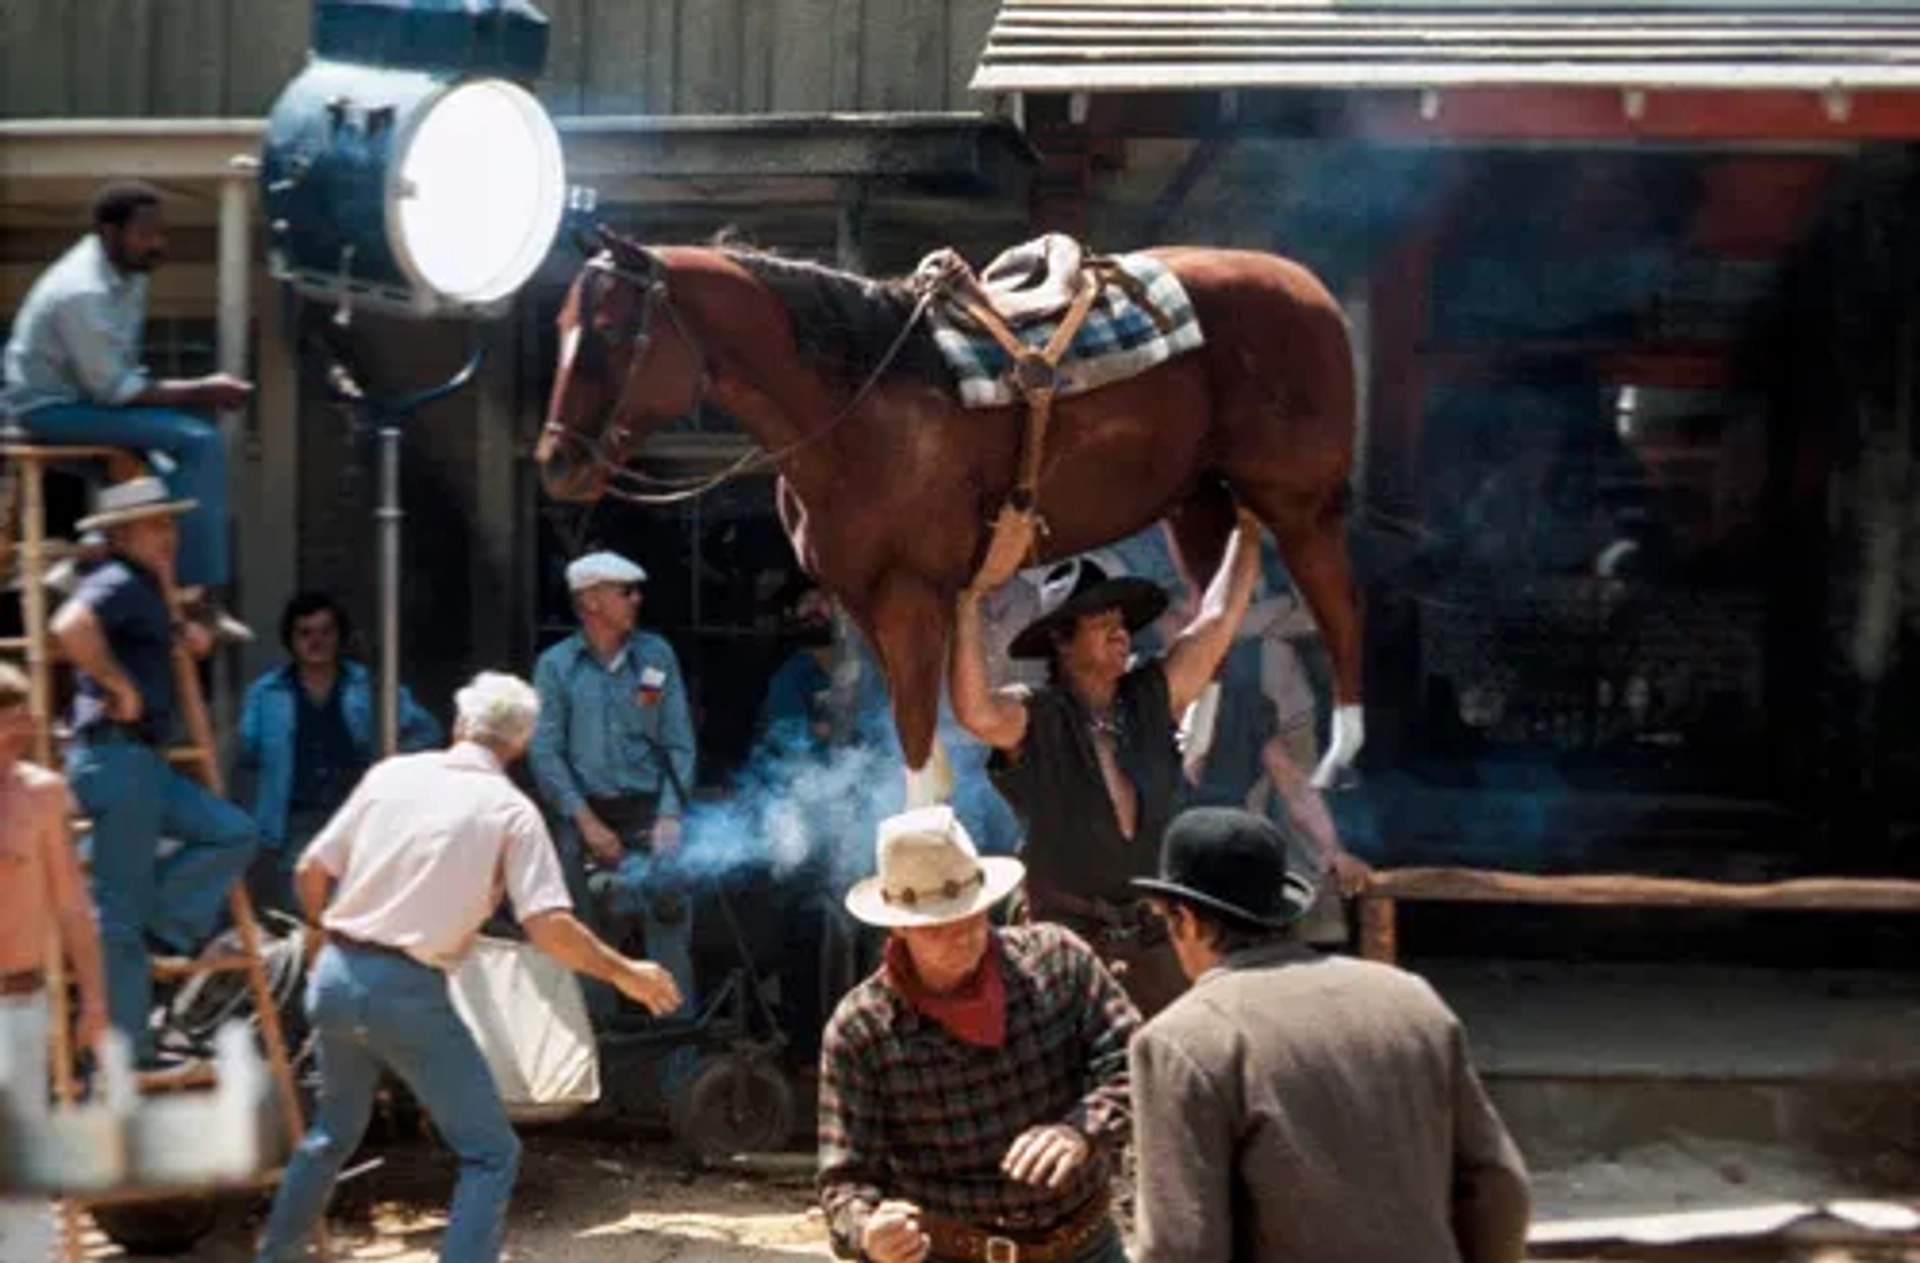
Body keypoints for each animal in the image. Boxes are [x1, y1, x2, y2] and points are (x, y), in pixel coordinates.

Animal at [533, 226, 1367, 775]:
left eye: (611, 333)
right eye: (562, 325)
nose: (556, 462)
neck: (855, 400)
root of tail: (1310, 289)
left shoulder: (912, 594)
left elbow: (916, 747)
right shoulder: (863, 599)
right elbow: (921, 754)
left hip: (1299, 502)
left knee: (1335, 606)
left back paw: (1341, 750)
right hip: (1197, 503)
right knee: (1214, 606)